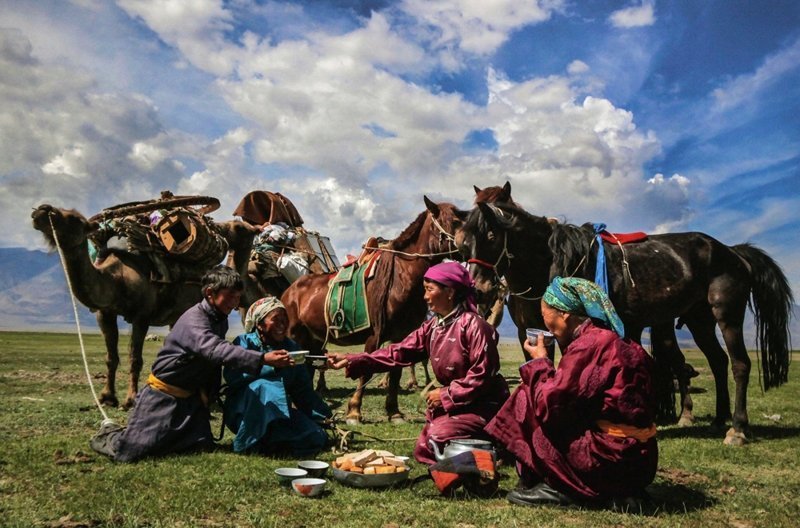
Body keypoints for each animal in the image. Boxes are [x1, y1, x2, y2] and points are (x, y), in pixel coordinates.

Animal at [32, 204, 258, 410]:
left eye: (73, 218)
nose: (41, 211)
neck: (117, 278)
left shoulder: (142, 316)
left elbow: (135, 359)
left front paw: (131, 399)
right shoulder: (105, 313)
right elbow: (111, 357)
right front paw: (107, 398)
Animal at [282, 197, 466, 424]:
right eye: (454, 222)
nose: (470, 244)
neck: (401, 278)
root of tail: (288, 292)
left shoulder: (400, 335)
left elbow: (395, 371)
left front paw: (394, 412)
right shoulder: (374, 335)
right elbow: (366, 371)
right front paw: (354, 412)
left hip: (312, 340)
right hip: (294, 336)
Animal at [456, 202, 792, 446]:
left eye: (490, 237)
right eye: (463, 245)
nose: (479, 289)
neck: (552, 261)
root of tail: (733, 252)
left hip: (727, 315)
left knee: (739, 364)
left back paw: (737, 429)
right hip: (700, 321)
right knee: (718, 361)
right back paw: (719, 419)